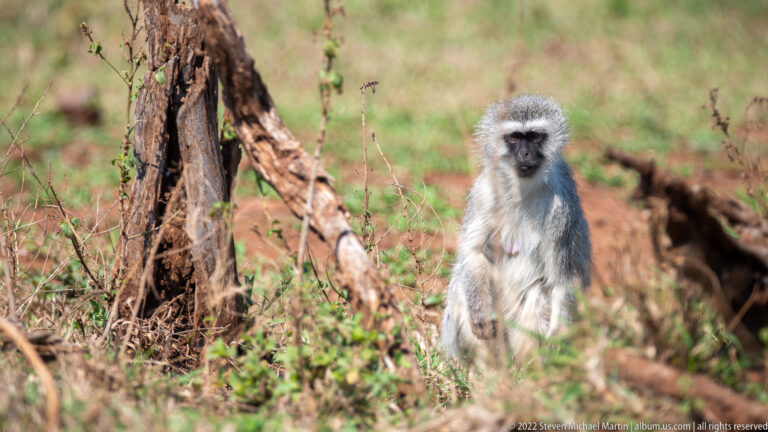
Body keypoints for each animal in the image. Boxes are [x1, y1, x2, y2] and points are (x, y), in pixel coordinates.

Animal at [440, 94, 591, 363]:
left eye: (534, 136)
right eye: (514, 137)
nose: (524, 153)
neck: (523, 189)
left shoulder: (562, 209)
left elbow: (563, 279)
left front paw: (556, 341)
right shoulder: (483, 192)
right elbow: (474, 252)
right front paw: (479, 315)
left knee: (540, 293)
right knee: (461, 281)